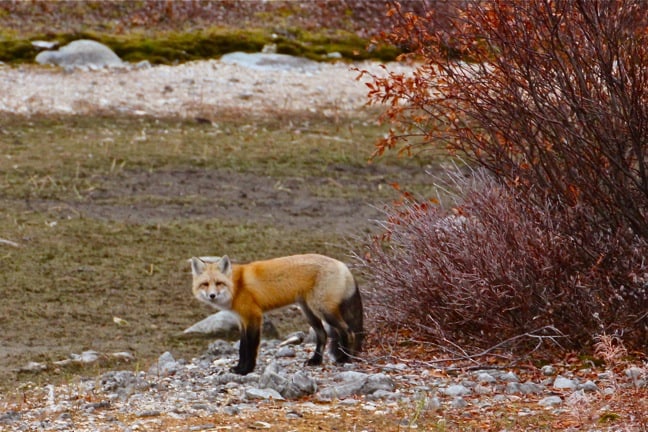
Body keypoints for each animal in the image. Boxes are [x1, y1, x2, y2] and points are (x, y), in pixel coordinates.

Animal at [192, 253, 364, 374]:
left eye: (219, 283)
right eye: (205, 284)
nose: (212, 295)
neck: (237, 285)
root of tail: (343, 265)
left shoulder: (254, 316)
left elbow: (250, 347)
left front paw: (246, 370)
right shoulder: (242, 320)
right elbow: (242, 347)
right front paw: (239, 367)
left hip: (323, 310)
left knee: (348, 332)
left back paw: (344, 358)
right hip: (309, 312)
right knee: (323, 335)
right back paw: (315, 360)